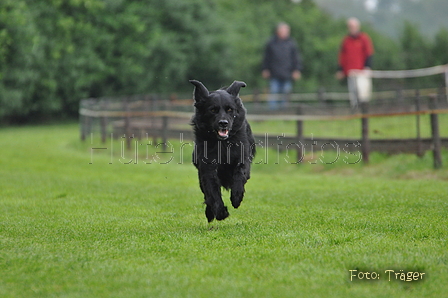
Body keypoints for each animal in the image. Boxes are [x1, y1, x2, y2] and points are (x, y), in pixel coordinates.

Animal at [190, 79, 256, 221]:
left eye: (230, 109)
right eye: (213, 110)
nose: (223, 123)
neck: (223, 144)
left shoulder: (243, 158)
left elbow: (240, 173)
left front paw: (236, 197)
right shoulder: (207, 167)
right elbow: (212, 191)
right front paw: (220, 212)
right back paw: (210, 213)